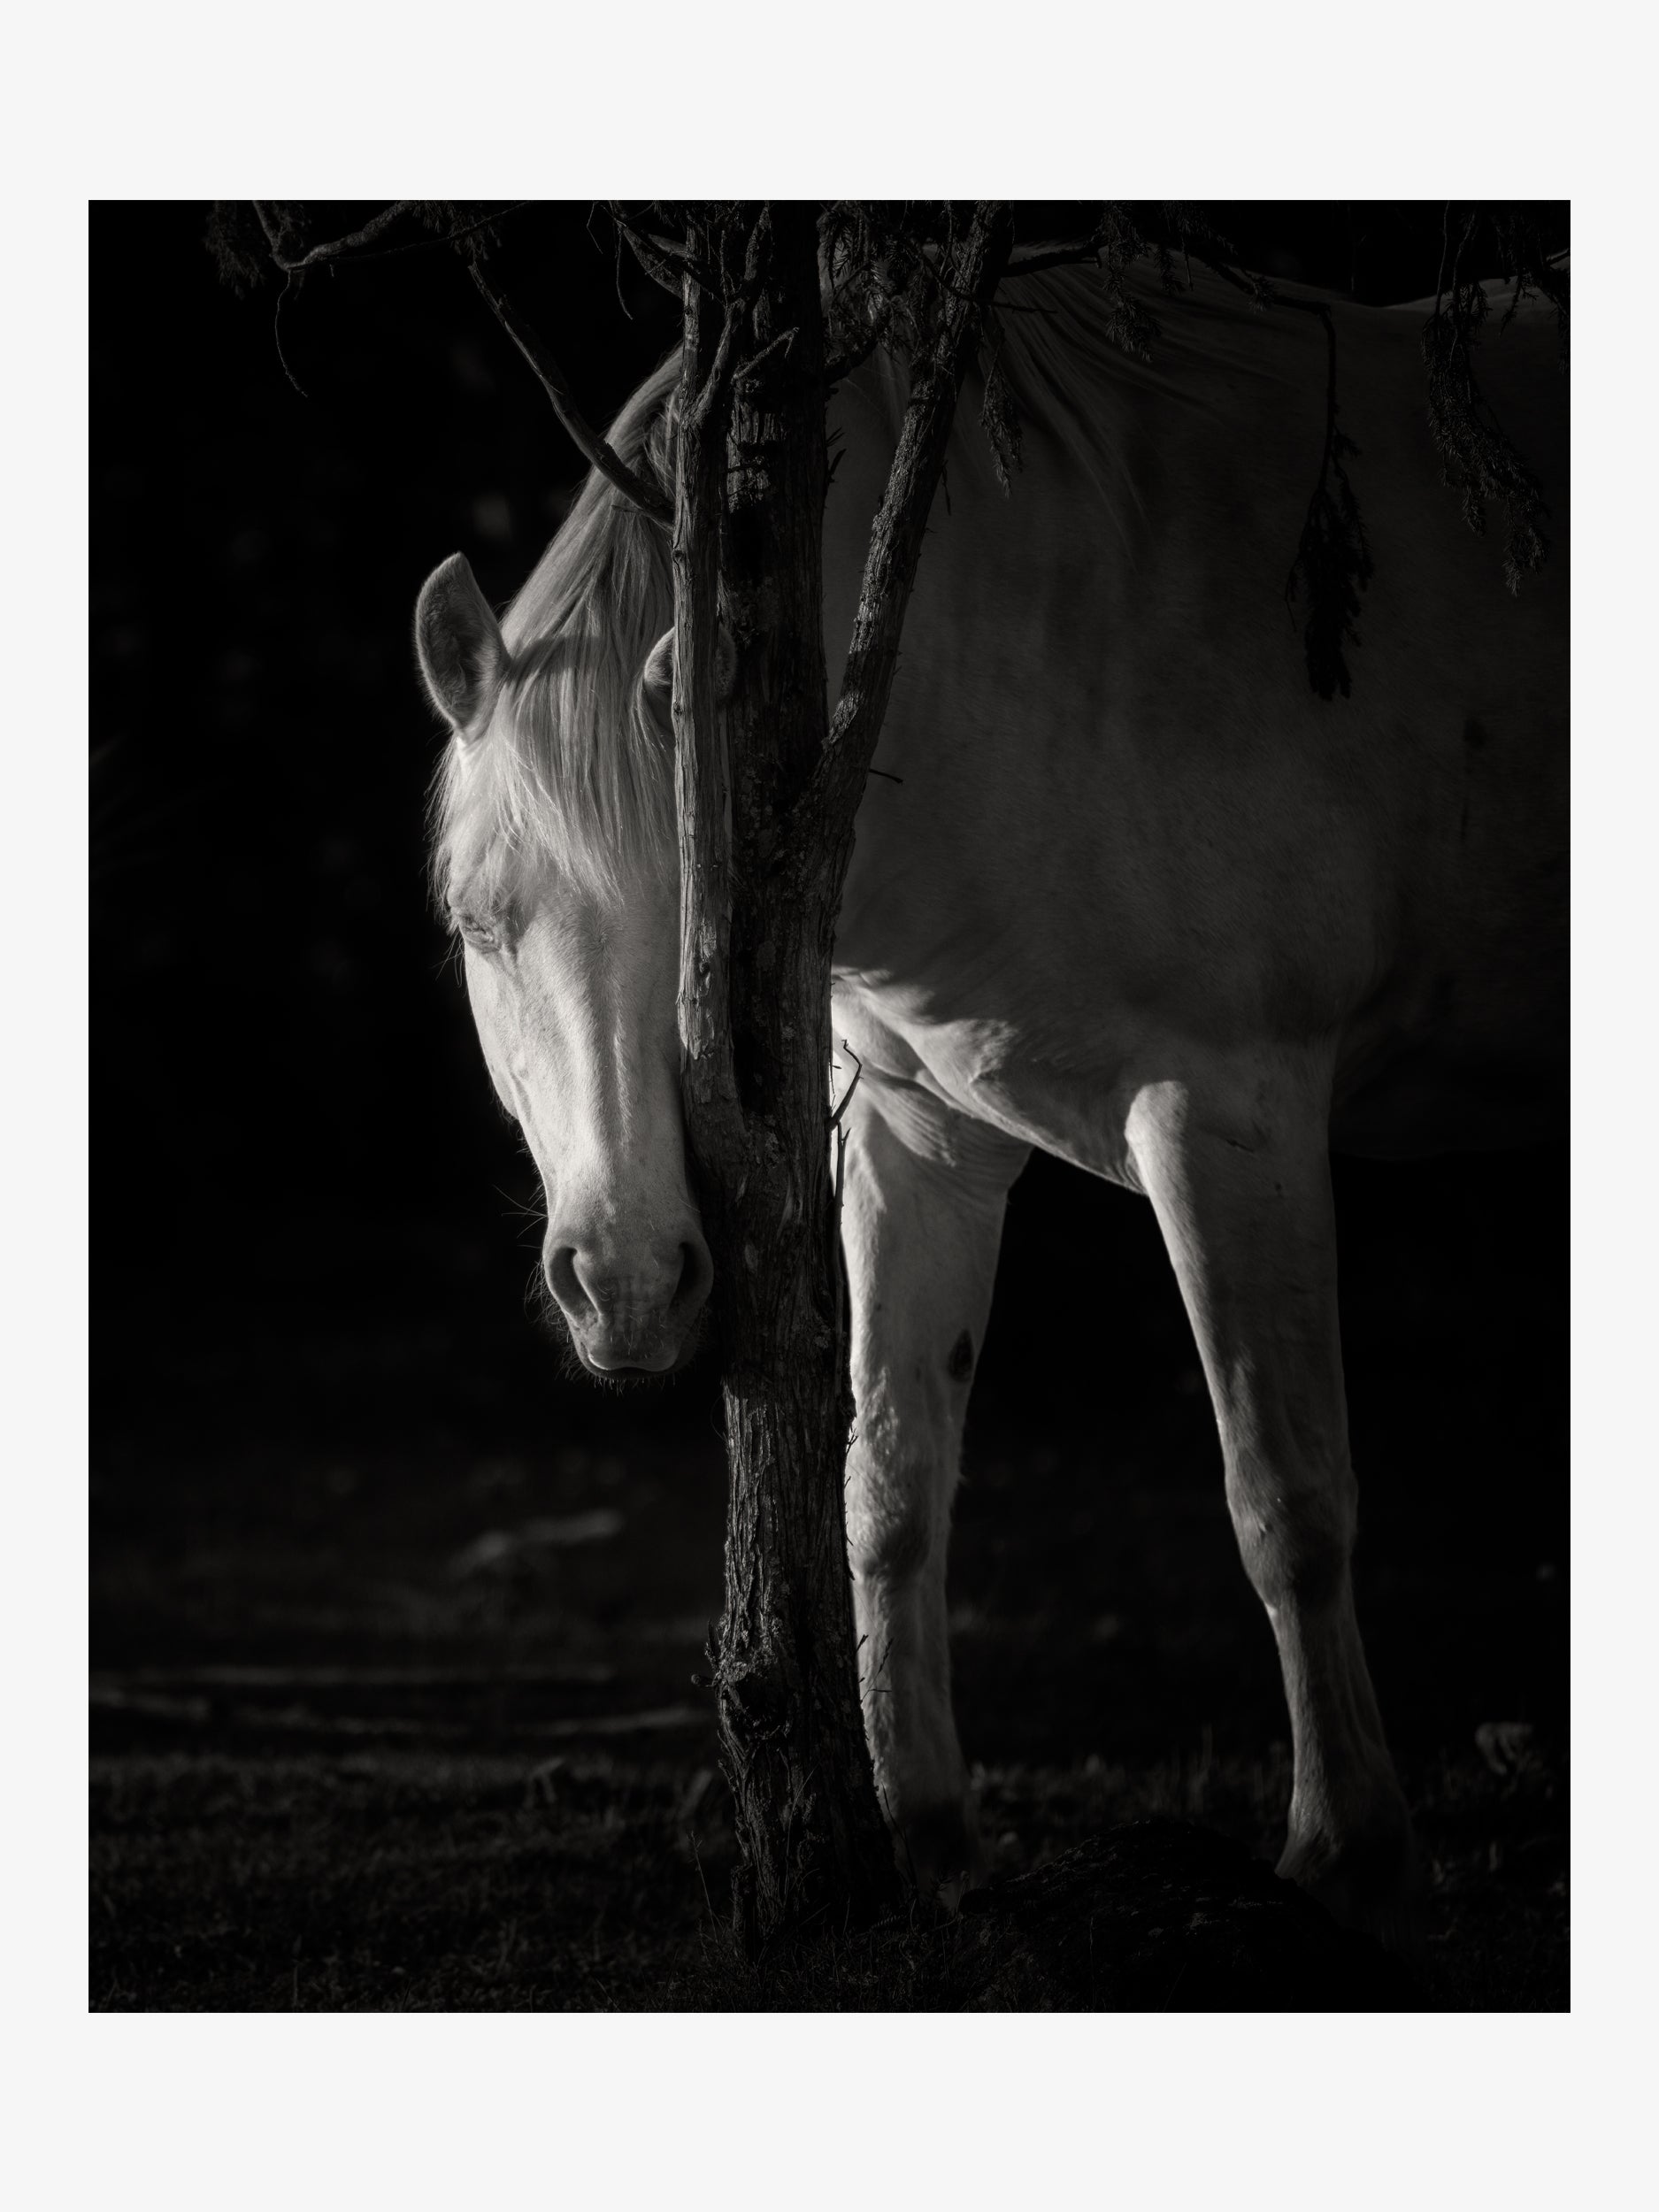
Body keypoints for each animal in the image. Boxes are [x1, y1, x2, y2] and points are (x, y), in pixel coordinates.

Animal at [415, 262, 1567, 1950]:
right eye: (476, 921)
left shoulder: (1228, 1118)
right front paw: (925, 1834)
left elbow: (1286, 1498)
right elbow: (886, 1488)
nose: (625, 1284)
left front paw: (1344, 1854)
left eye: (711, 926)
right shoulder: (917, 1141)